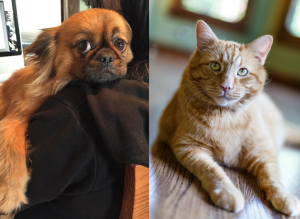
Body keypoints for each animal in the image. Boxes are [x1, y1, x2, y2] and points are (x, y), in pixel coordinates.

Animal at [0, 8, 132, 214]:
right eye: (83, 45)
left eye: (120, 44)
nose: (107, 57)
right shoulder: (13, 120)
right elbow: (14, 149)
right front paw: (10, 192)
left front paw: (9, 192)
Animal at [157, 20, 300, 216]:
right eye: (215, 66)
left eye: (242, 71)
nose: (226, 86)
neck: (226, 118)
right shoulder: (189, 147)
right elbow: (213, 170)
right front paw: (228, 192)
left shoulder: (263, 153)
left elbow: (273, 177)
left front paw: (284, 197)